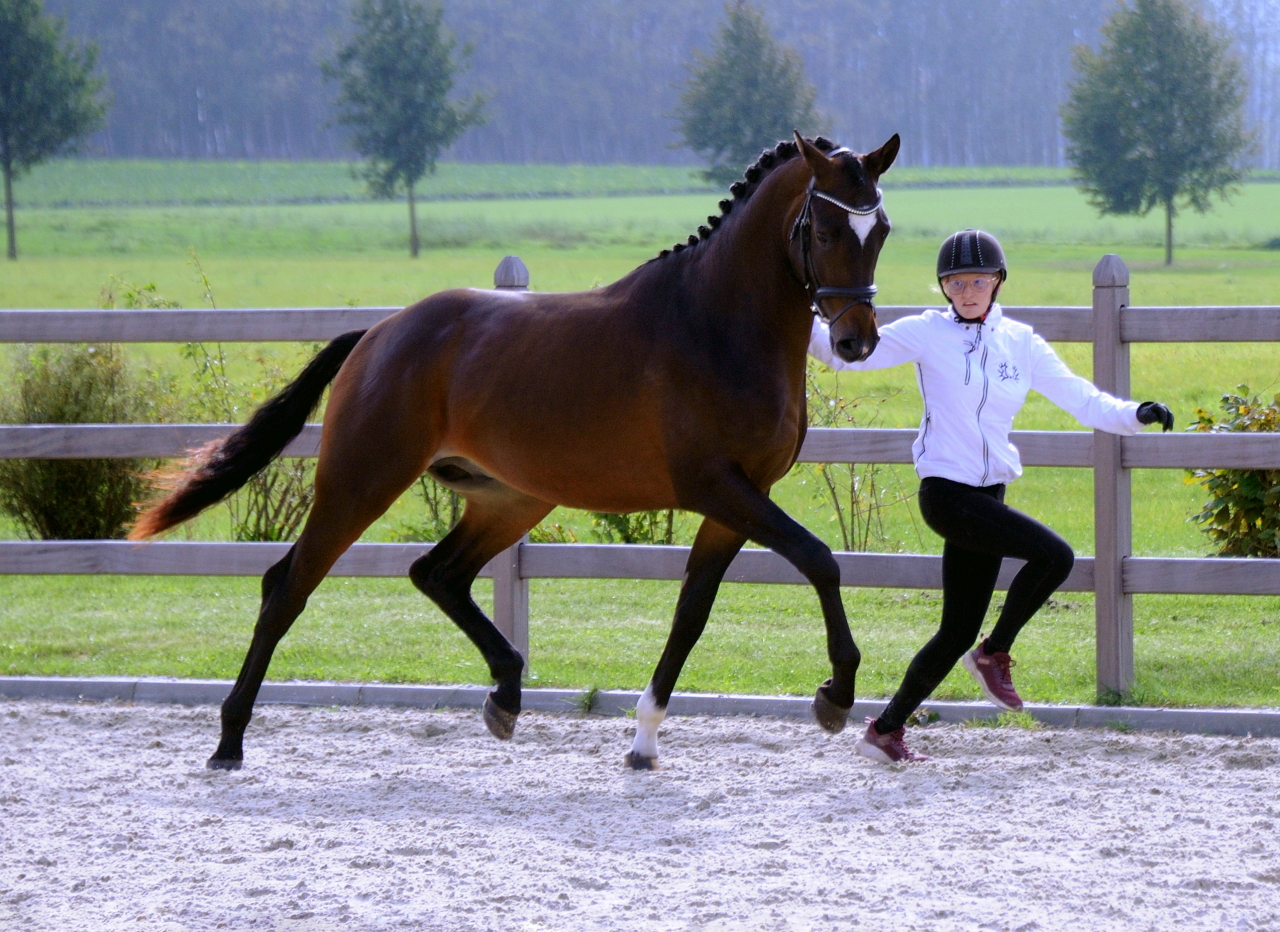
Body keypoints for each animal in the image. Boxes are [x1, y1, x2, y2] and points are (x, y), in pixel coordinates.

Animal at [129, 131, 901, 773]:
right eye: (826, 227)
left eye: (882, 229)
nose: (856, 339)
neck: (714, 323)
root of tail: (379, 333)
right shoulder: (718, 487)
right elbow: (821, 561)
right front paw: (835, 693)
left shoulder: (738, 500)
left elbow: (692, 614)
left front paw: (644, 740)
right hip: (361, 482)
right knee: (287, 585)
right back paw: (229, 741)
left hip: (511, 497)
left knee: (436, 573)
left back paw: (505, 693)